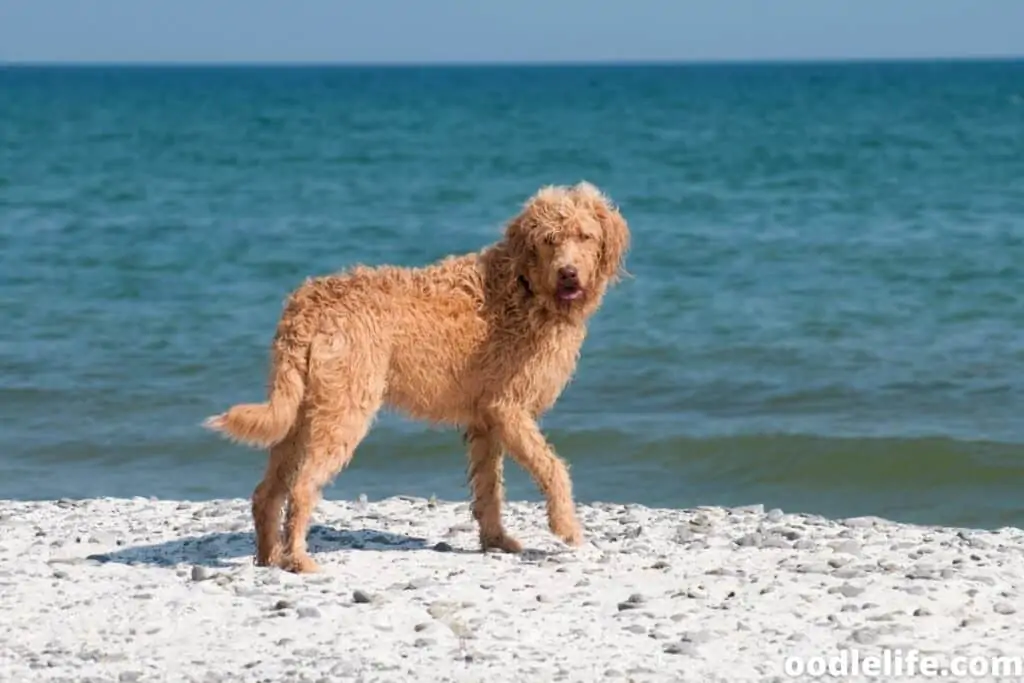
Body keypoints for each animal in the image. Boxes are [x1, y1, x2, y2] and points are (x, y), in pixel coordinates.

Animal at [203, 181, 626, 573]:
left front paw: (496, 539)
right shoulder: (507, 409)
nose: (568, 274)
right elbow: (553, 468)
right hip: (343, 412)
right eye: (549, 240)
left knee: (267, 492)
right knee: (302, 488)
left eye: (585, 236)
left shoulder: (486, 422)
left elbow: (489, 488)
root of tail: (307, 304)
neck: (523, 287)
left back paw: (269, 557)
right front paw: (567, 526)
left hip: (299, 414)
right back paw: (299, 559)